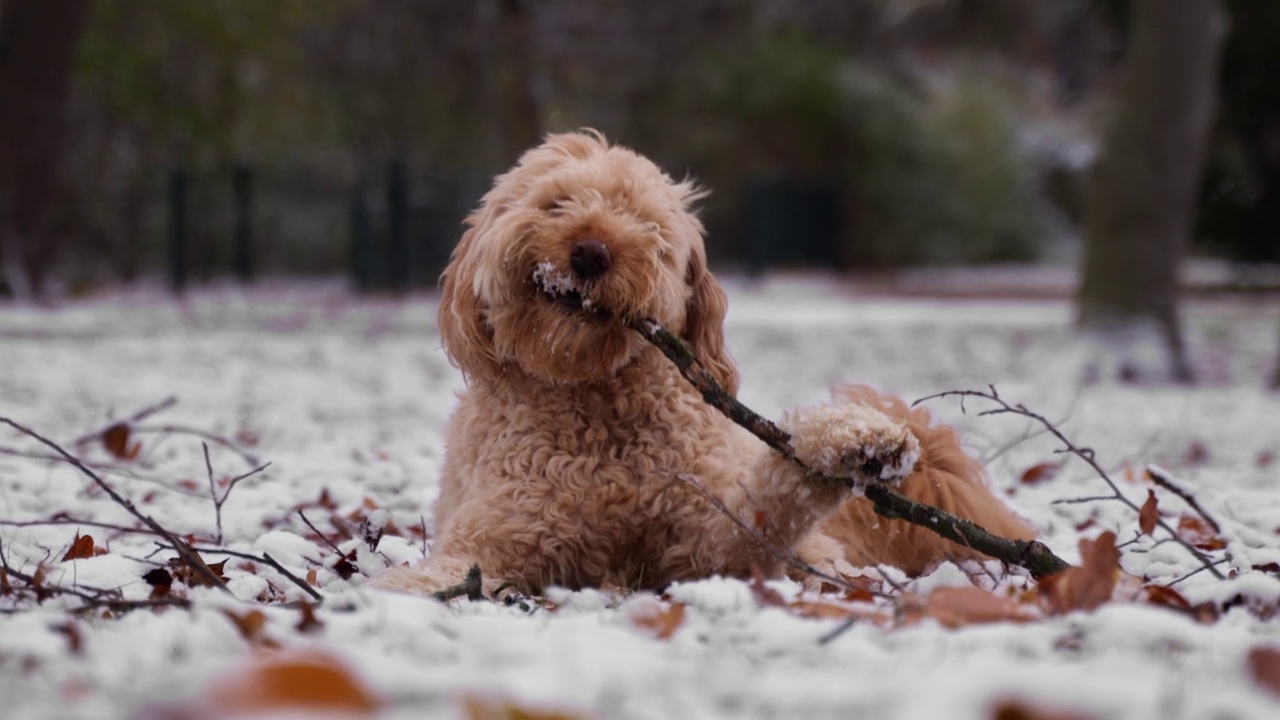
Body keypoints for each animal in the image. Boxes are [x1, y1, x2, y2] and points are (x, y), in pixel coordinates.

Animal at [371, 128, 1029, 594]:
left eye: (647, 226)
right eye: (557, 203)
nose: (591, 251)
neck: (593, 401)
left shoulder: (708, 542)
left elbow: (770, 496)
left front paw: (848, 441)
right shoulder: (497, 534)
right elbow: (445, 571)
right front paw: (403, 588)